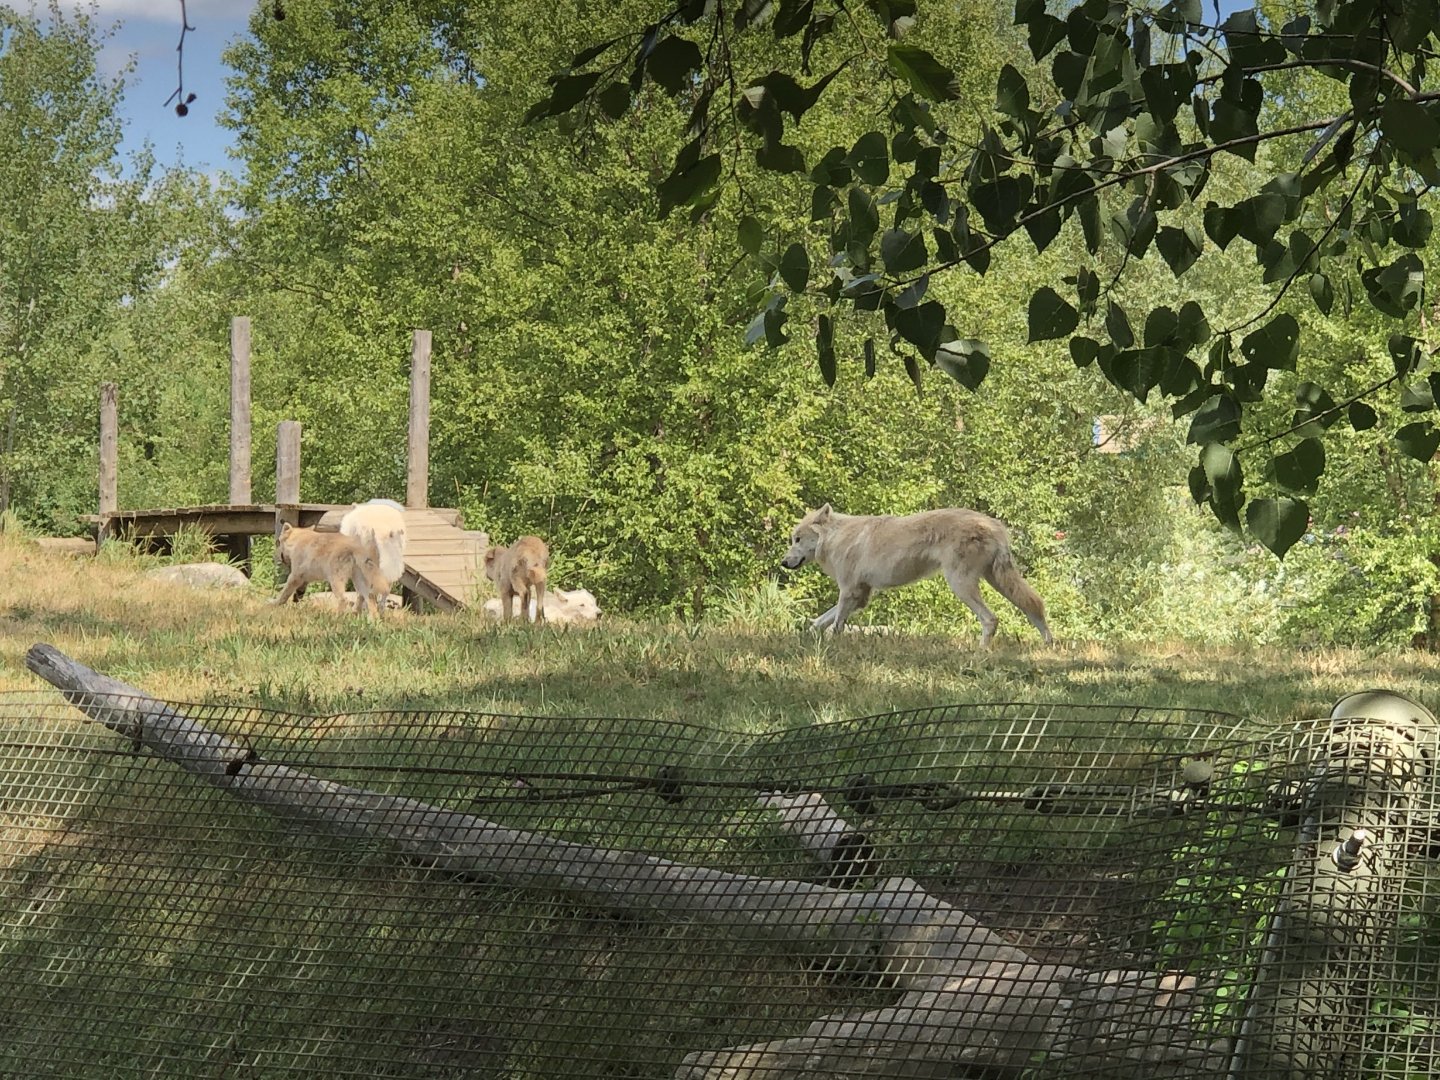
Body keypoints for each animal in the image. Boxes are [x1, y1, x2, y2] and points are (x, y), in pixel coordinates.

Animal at [780, 504, 1052, 646]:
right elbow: (822, 620)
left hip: (960, 585)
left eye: (797, 539)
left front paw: (830, 643)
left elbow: (836, 623)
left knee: (991, 619)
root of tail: (996, 526)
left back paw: (980, 651)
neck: (835, 537)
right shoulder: (860, 595)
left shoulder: (848, 591)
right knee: (1034, 604)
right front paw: (808, 633)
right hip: (997, 581)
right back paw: (1048, 642)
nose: (783, 562)